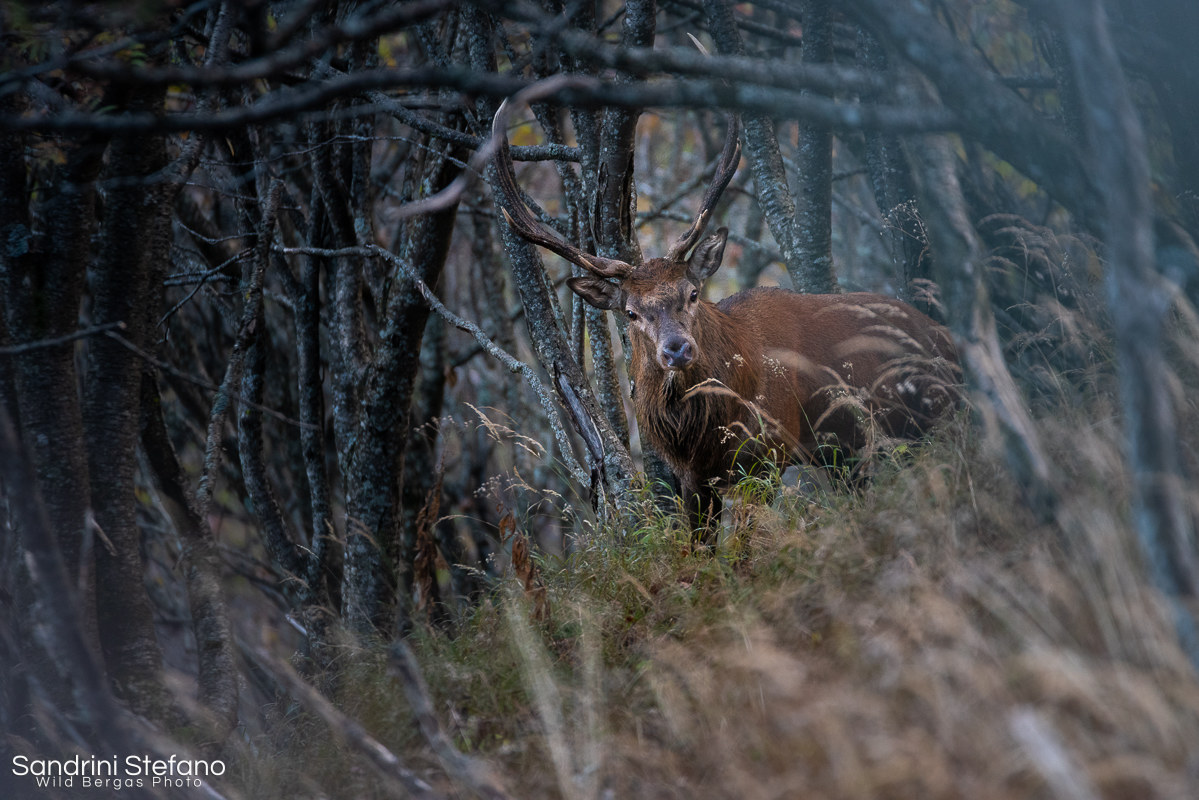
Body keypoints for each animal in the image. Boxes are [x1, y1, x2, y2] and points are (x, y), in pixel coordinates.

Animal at [491, 107, 962, 540]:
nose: (677, 349)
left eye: (692, 293)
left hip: (937, 416)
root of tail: (946, 338)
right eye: (631, 312)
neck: (704, 433)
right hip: (854, 452)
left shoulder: (769, 455)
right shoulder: (693, 480)